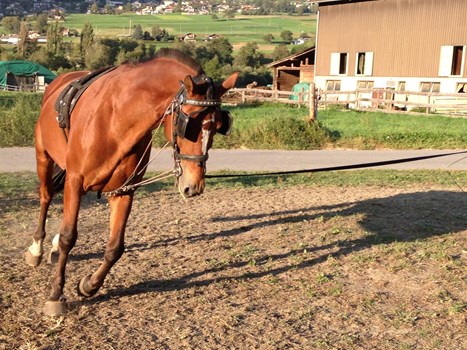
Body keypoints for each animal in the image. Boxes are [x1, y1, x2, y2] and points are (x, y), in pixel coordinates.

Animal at [24, 47, 238, 316]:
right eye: (188, 123)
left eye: (219, 125)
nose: (194, 186)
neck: (116, 120)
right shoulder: (75, 180)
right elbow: (68, 237)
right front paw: (55, 294)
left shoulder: (124, 190)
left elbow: (115, 248)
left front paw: (89, 285)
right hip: (44, 157)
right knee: (46, 196)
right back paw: (37, 248)